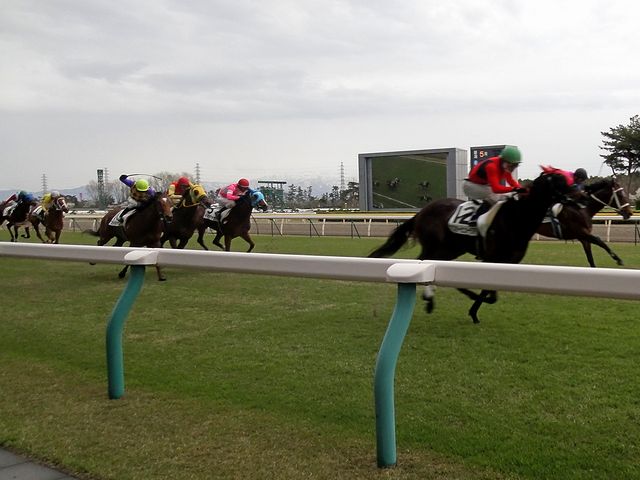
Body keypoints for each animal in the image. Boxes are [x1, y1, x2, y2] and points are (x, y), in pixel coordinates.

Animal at [369, 172, 571, 323]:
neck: (517, 218)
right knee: (424, 262)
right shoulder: (492, 259)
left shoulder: (507, 263)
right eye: (560, 182)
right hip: (435, 246)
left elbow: (491, 293)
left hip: (451, 248)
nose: (574, 198)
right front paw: (473, 307)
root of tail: (422, 211)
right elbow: (488, 293)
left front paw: (474, 309)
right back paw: (433, 297)